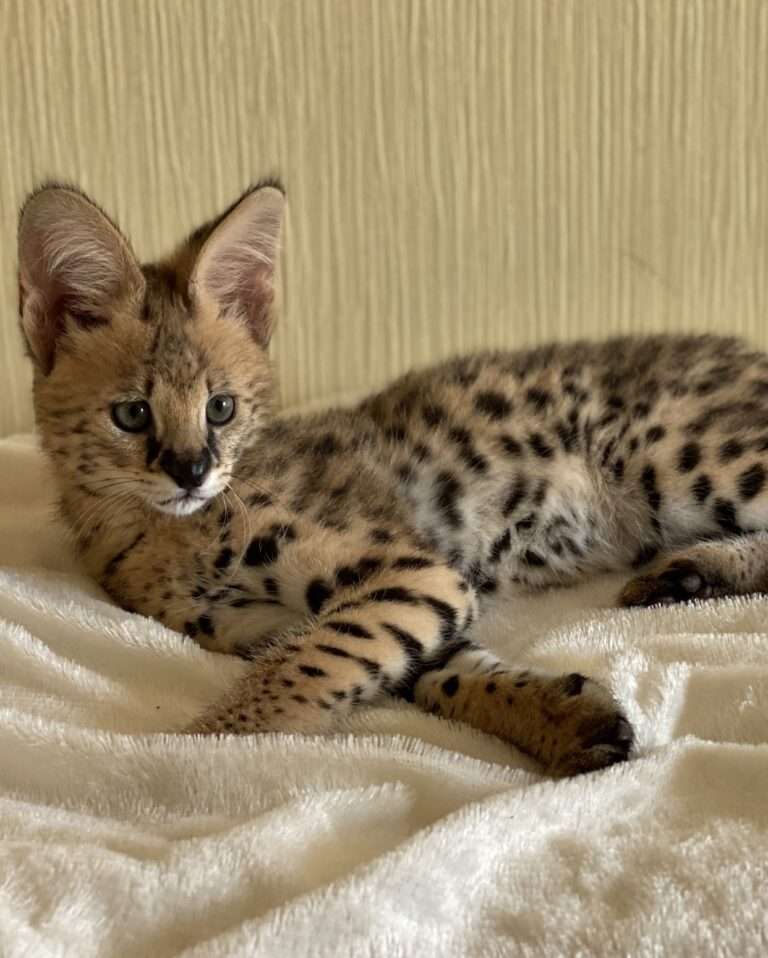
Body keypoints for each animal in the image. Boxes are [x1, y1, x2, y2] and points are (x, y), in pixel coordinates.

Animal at [18, 182, 768, 780]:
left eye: (220, 408)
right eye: (132, 414)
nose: (192, 471)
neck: (158, 534)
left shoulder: (407, 570)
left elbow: (302, 665)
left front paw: (204, 748)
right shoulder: (332, 609)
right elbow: (444, 676)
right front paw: (562, 720)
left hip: (675, 452)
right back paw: (688, 575)